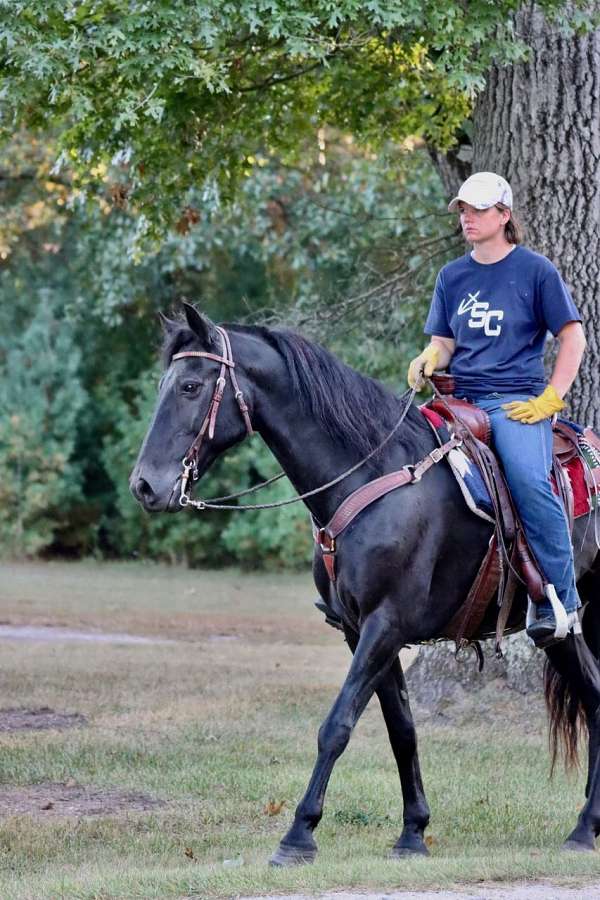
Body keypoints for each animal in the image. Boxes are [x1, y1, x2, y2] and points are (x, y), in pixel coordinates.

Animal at [131, 308, 600, 864]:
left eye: (190, 386)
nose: (145, 485)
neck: (370, 476)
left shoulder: (386, 623)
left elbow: (336, 726)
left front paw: (298, 835)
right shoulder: (362, 631)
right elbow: (402, 729)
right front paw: (413, 832)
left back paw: (584, 827)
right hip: (569, 632)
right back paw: (587, 824)